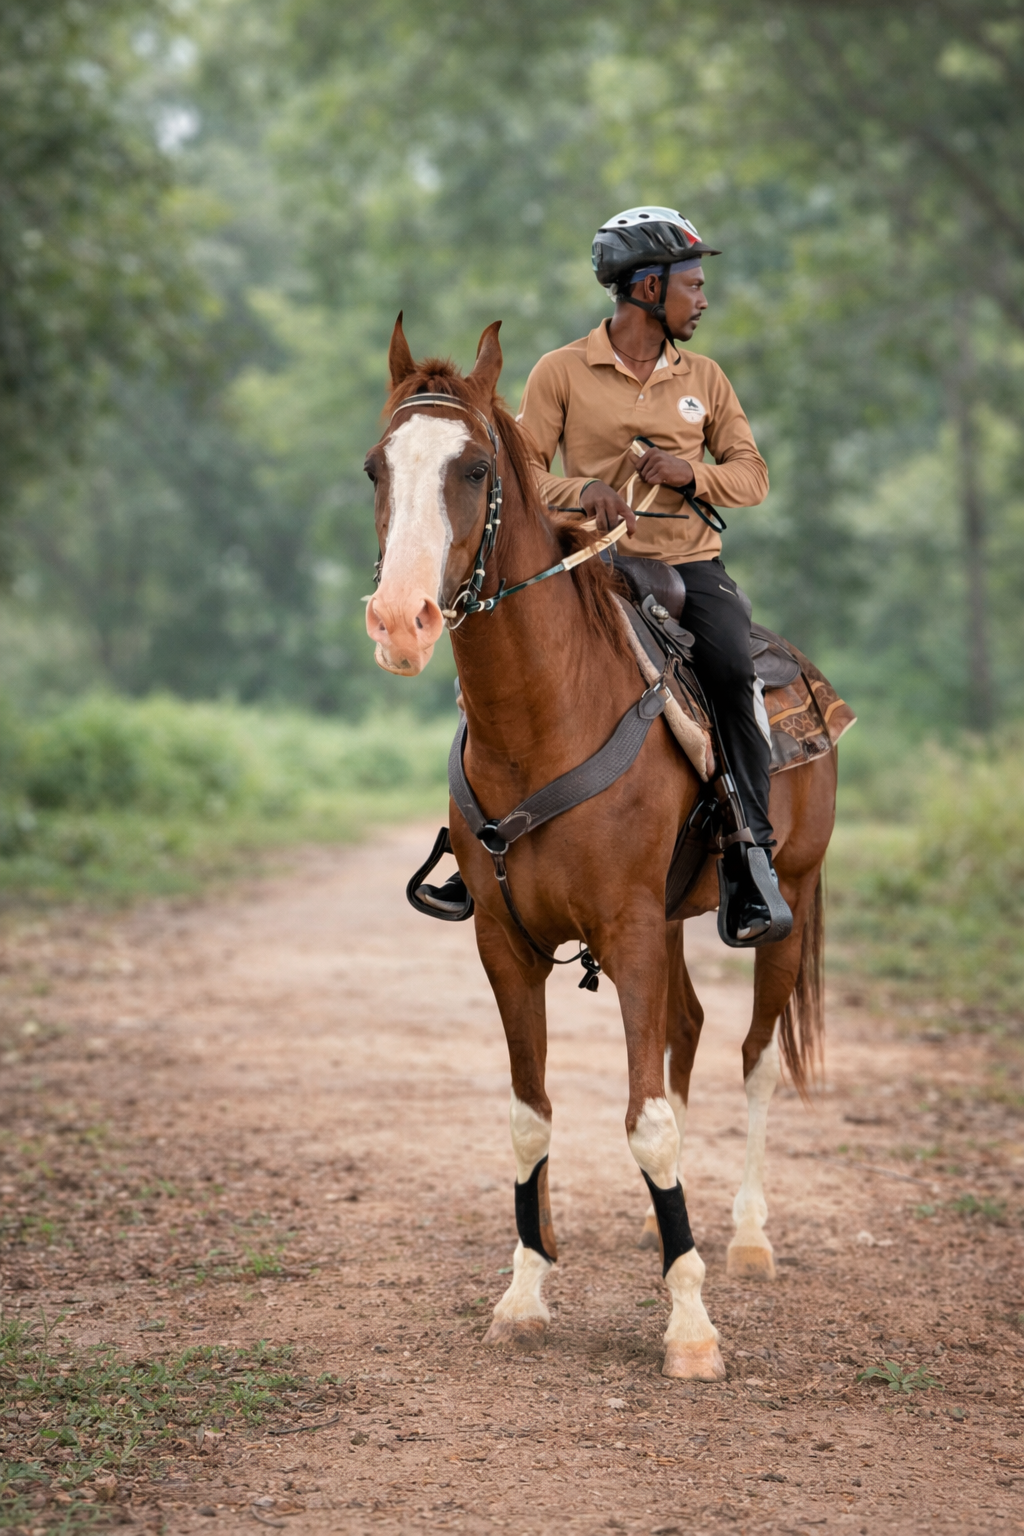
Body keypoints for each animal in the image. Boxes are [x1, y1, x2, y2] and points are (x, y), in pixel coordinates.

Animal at [363, 315, 836, 1380]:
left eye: (474, 469)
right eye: (376, 467)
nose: (400, 622)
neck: (542, 717)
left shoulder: (625, 928)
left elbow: (648, 1120)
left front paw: (692, 1325)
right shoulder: (508, 943)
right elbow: (532, 1113)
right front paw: (525, 1291)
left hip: (782, 900)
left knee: (752, 1056)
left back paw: (744, 1237)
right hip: (670, 924)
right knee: (689, 1031)